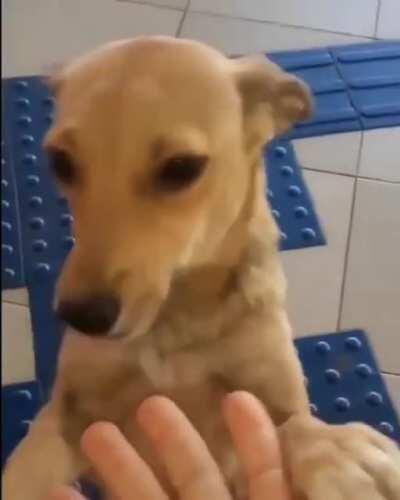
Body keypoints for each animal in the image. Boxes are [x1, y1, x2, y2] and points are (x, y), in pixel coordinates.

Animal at [3, 36, 400, 500]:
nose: (81, 316)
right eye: (59, 161)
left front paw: (337, 449)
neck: (177, 317)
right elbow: (29, 463)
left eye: (182, 167)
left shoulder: (266, 406)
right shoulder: (72, 410)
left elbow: (294, 427)